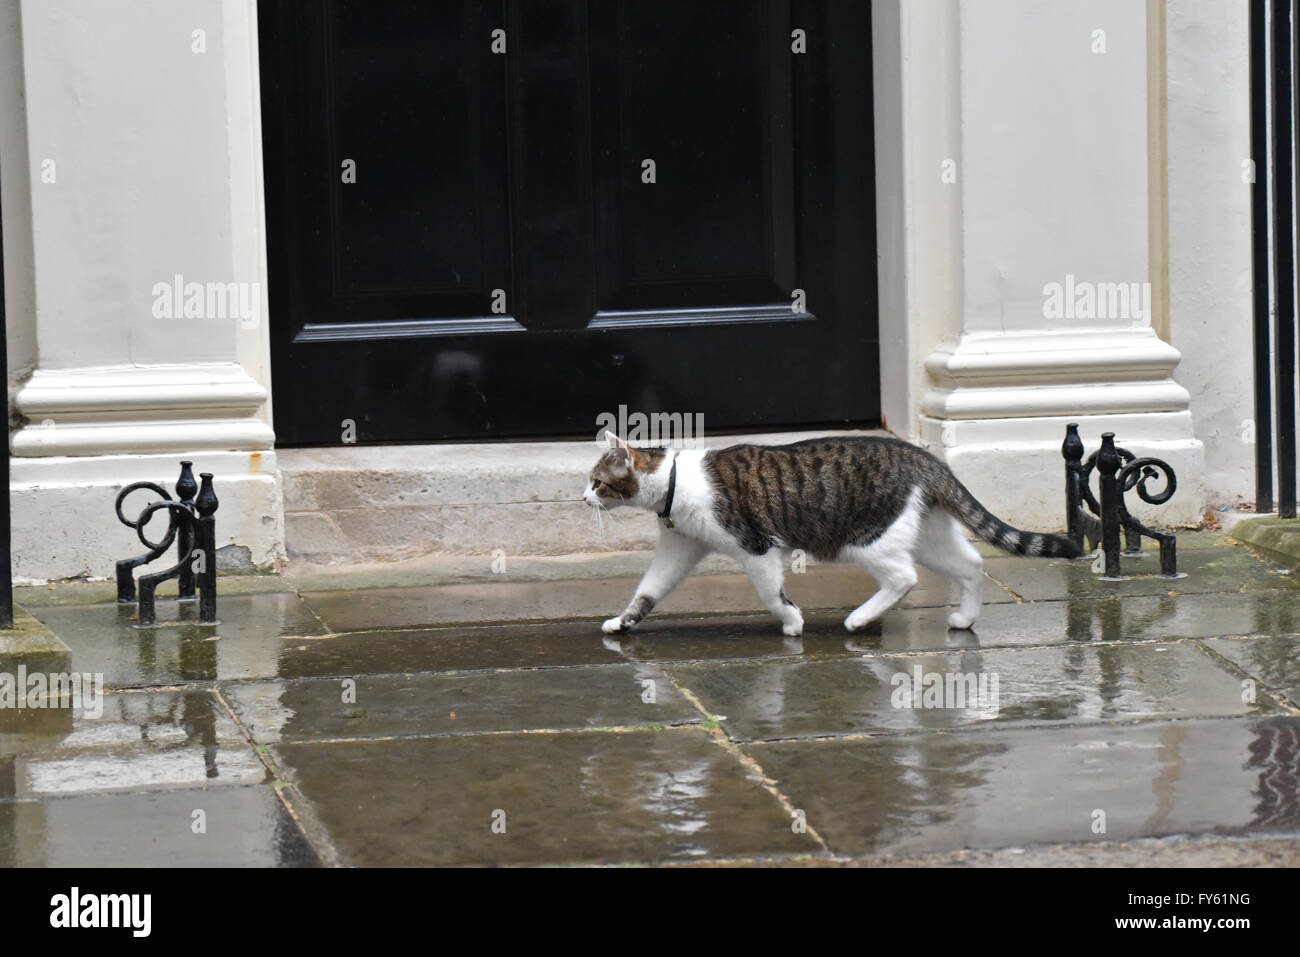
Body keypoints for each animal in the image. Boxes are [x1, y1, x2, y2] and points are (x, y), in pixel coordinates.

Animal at [585, 434, 1081, 634]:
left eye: (597, 482)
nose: (582, 497)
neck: (673, 481)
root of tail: (926, 458)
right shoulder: (680, 548)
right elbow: (647, 591)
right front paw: (622, 622)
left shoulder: (757, 548)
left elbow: (771, 595)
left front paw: (791, 623)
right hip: (928, 536)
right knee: (973, 565)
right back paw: (964, 619)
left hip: (869, 539)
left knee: (904, 579)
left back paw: (859, 619)